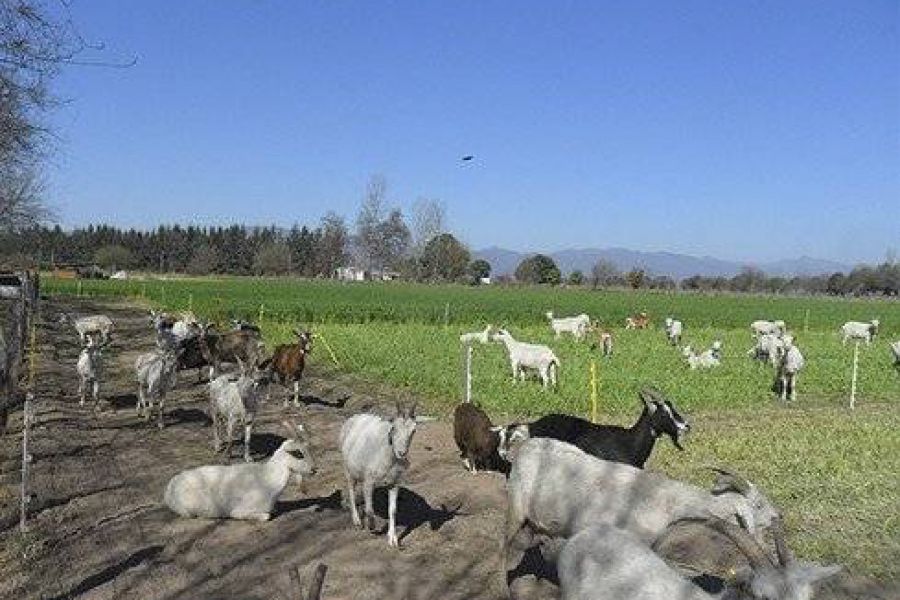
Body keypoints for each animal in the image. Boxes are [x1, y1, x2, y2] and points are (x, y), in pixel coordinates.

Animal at [164, 422, 316, 520]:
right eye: (298, 453)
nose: (314, 469)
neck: (267, 479)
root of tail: (170, 487)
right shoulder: (238, 512)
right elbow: (266, 516)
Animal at [342, 404, 418, 548]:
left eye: (413, 430)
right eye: (394, 428)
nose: (401, 453)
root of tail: (353, 418)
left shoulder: (394, 483)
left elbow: (392, 510)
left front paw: (393, 539)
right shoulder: (369, 480)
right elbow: (370, 509)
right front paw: (371, 527)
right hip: (348, 468)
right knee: (351, 489)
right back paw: (357, 521)